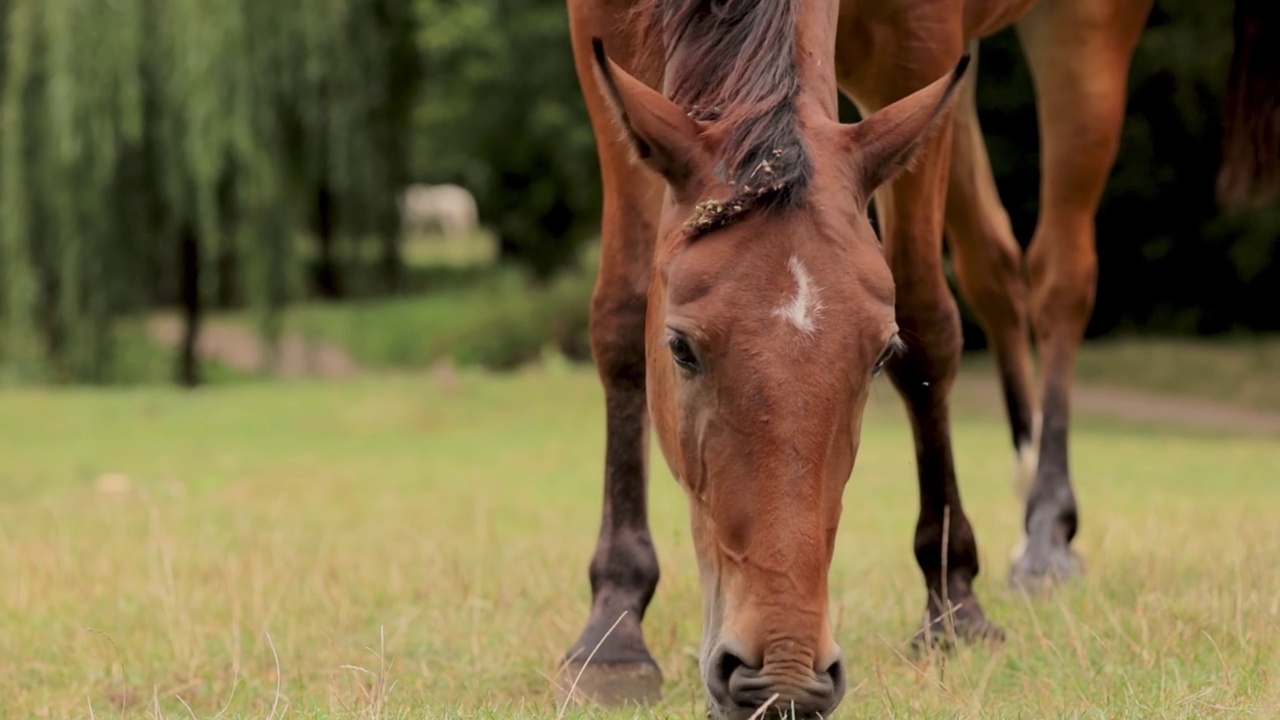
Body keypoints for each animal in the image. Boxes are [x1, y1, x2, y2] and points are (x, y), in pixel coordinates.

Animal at [563, 0, 1280, 712]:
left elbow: (927, 322)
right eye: (680, 349)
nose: (782, 682)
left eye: (879, 355)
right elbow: (621, 312)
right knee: (995, 266)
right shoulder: (601, 36)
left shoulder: (918, 52)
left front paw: (954, 601)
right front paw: (614, 631)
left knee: (1059, 280)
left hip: (1080, 35)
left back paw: (1046, 531)